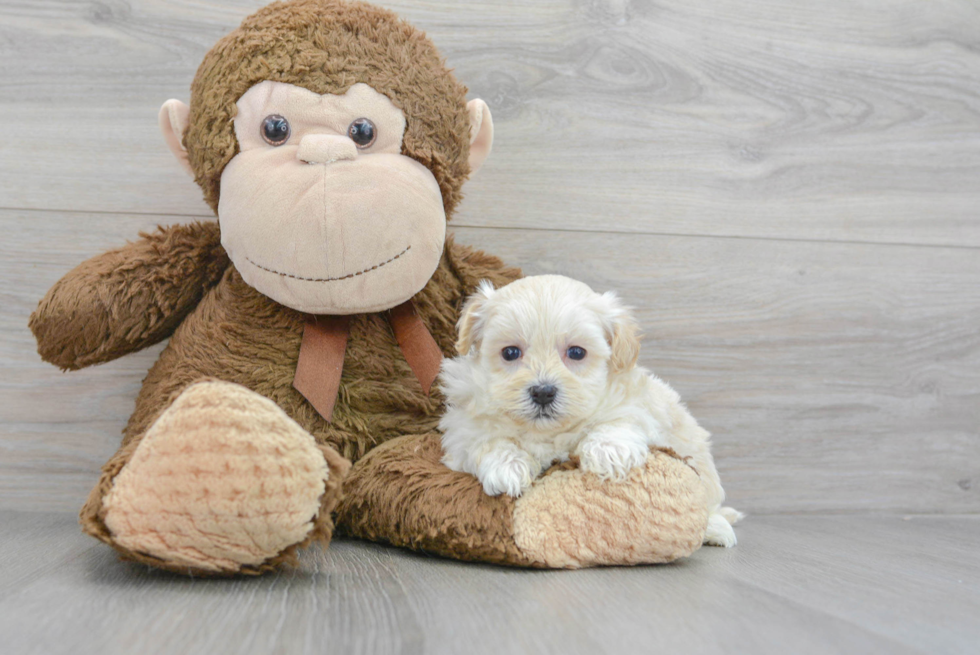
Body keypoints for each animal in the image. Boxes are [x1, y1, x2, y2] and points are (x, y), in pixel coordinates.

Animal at [438, 274, 744, 544]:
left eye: (576, 352)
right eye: (510, 353)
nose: (543, 392)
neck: (547, 432)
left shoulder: (635, 401)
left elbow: (620, 419)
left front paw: (607, 452)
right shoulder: (463, 427)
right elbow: (487, 440)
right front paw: (507, 466)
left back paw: (716, 528)